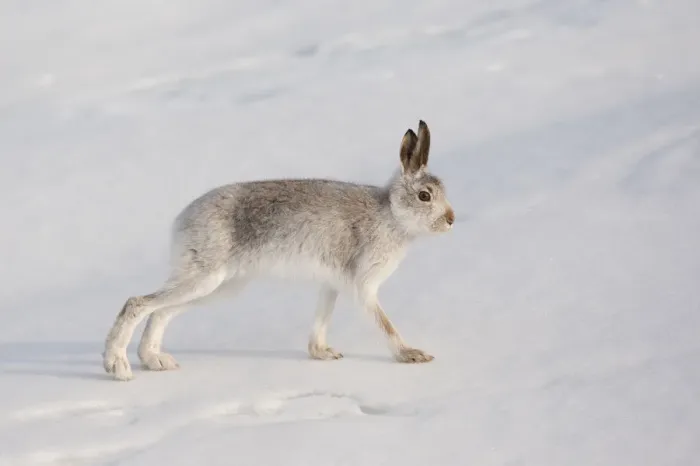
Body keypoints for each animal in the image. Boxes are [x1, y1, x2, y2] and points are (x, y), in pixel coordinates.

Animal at [103, 120, 455, 381]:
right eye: (425, 196)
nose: (451, 220)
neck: (392, 214)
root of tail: (180, 221)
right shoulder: (363, 285)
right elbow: (385, 324)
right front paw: (411, 355)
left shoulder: (332, 284)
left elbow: (322, 318)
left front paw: (322, 353)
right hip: (204, 277)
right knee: (137, 304)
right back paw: (117, 366)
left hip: (220, 287)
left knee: (160, 311)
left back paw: (155, 361)